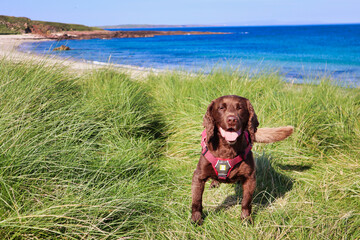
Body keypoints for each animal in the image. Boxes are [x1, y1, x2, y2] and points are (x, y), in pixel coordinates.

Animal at [191, 94, 292, 224]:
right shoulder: (198, 176)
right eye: (221, 108)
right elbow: (197, 201)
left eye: (240, 108)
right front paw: (196, 219)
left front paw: (246, 219)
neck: (227, 148)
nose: (232, 119)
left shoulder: (250, 178)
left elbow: (246, 202)